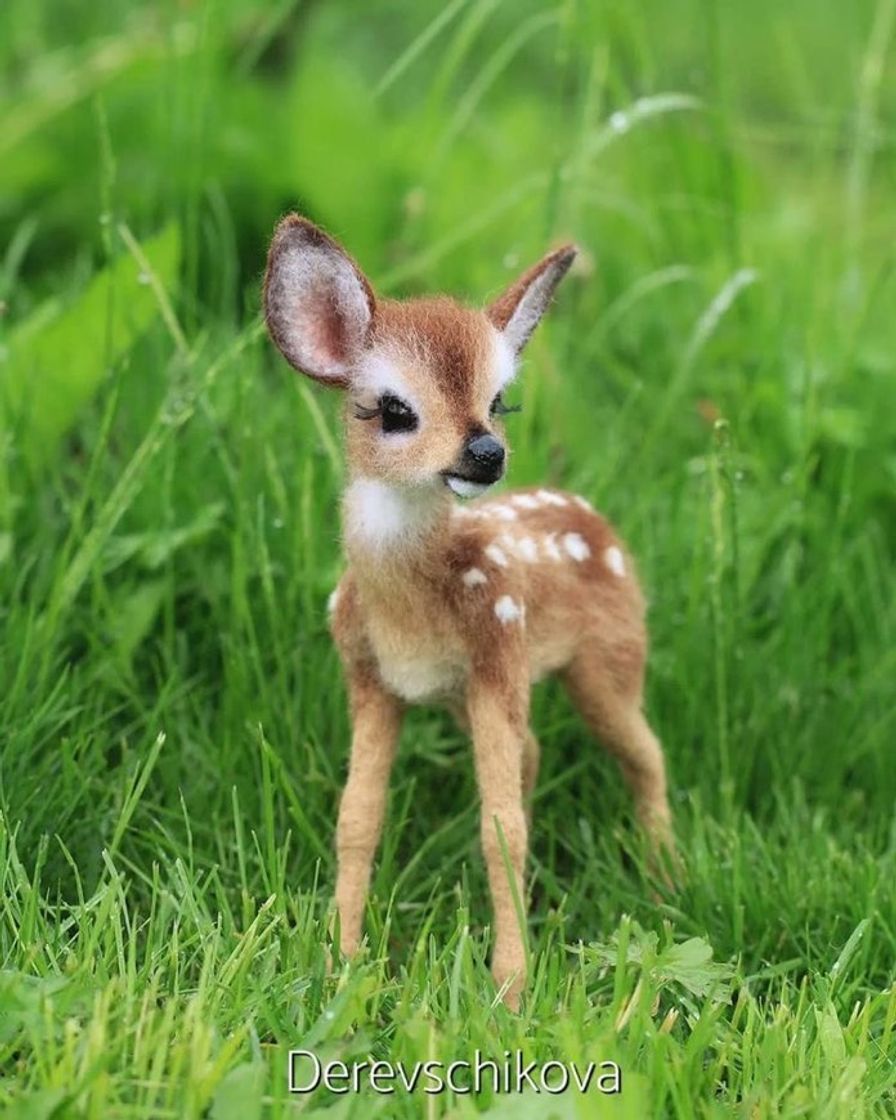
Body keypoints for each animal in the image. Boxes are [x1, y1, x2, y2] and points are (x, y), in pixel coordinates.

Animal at [262, 213, 667, 1012]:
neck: (410, 609)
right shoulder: (370, 677)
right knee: (537, 752)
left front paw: (510, 989)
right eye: (393, 409)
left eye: (500, 399)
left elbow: (499, 828)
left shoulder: (497, 651)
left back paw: (670, 879)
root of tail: (597, 518)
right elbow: (357, 817)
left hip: (605, 660)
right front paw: (340, 961)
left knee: (645, 752)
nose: (486, 452)